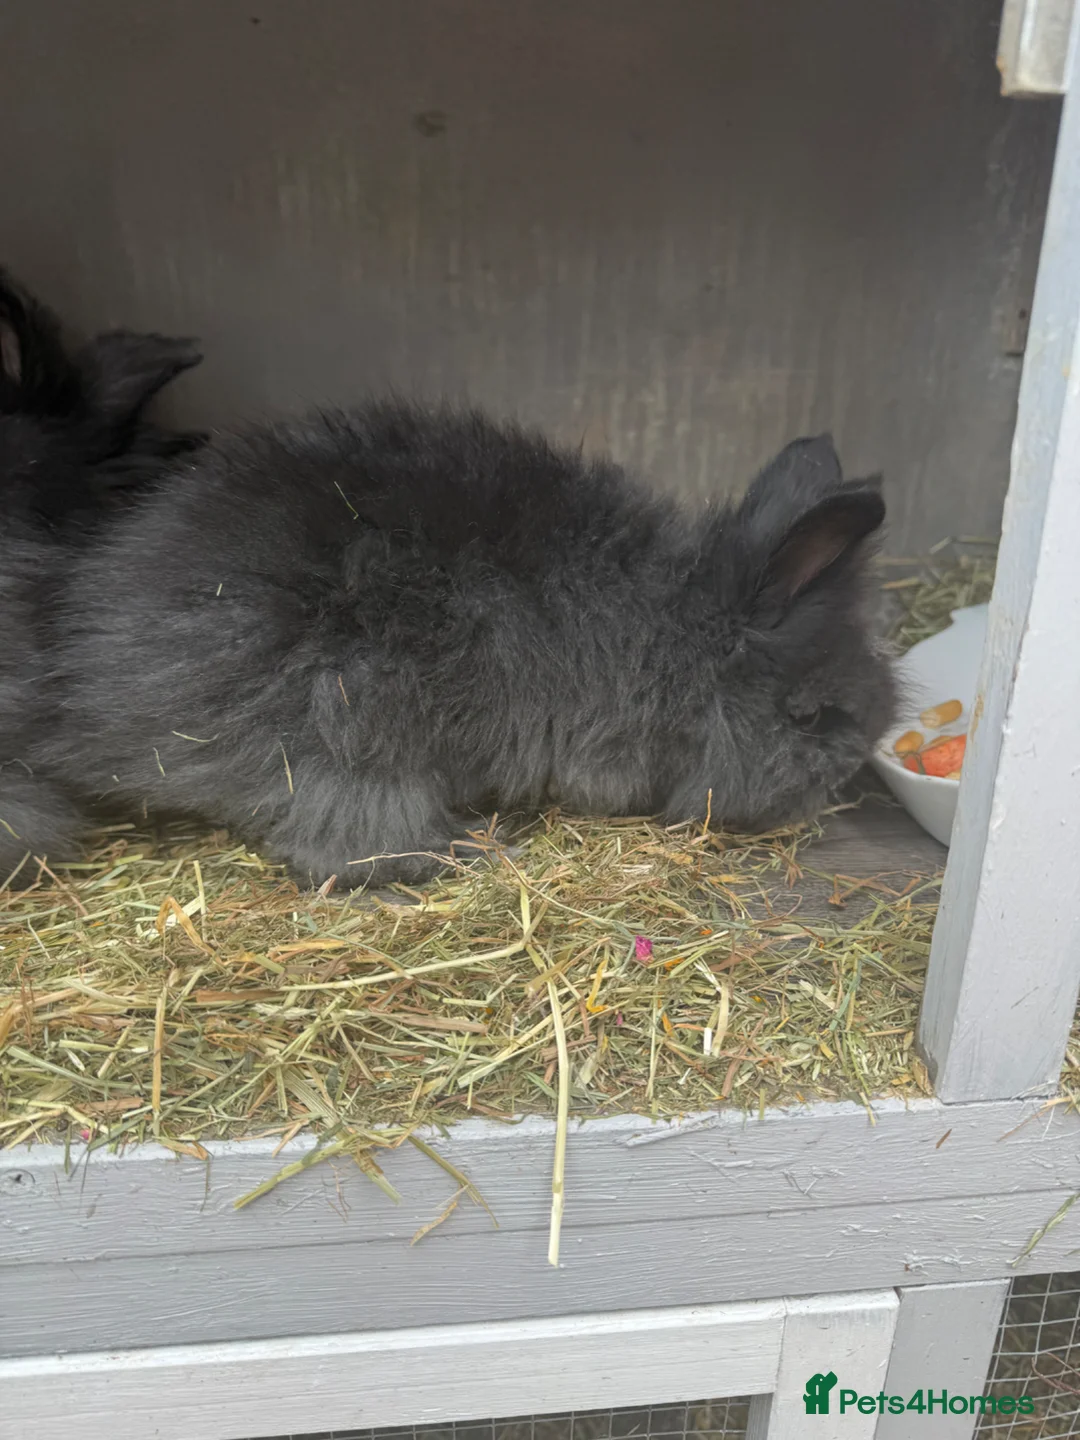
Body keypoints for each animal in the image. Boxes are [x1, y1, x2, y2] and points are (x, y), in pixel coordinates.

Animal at [35, 401, 897, 891]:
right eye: (807, 715)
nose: (852, 766)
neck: (675, 633)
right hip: (352, 731)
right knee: (346, 856)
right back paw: (473, 848)